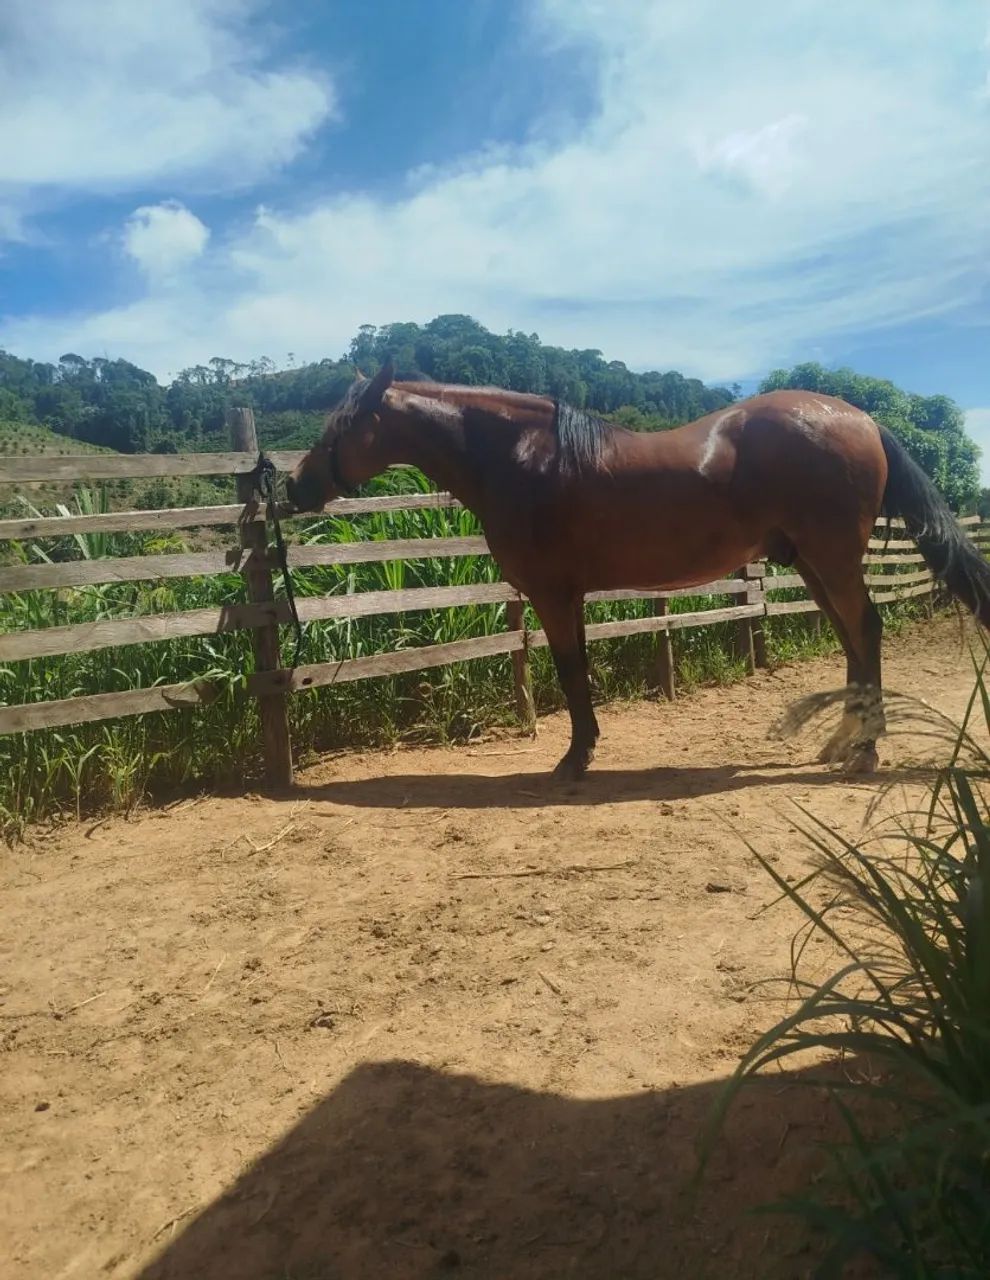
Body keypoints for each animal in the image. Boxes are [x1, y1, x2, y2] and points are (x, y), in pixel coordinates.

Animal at [286, 358, 990, 780]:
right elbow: (579, 671)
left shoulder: (551, 593)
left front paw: (574, 762)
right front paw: (584, 750)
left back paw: (864, 752)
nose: (293, 487)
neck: (522, 458)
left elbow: (570, 672)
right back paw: (842, 744)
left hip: (832, 560)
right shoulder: (568, 594)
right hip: (814, 566)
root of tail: (862, 417)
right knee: (852, 638)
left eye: (342, 426)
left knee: (865, 630)